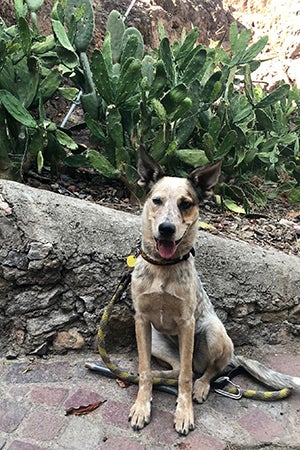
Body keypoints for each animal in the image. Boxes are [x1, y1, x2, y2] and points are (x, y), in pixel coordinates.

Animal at [129, 148, 300, 436]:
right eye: (157, 200)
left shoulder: (187, 324)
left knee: (204, 371)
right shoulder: (141, 321)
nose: (166, 229)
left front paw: (184, 412)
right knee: (175, 368)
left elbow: (186, 378)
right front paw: (142, 405)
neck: (164, 268)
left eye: (186, 203)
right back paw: (156, 376)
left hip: (214, 332)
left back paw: (201, 386)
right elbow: (144, 370)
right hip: (158, 341)